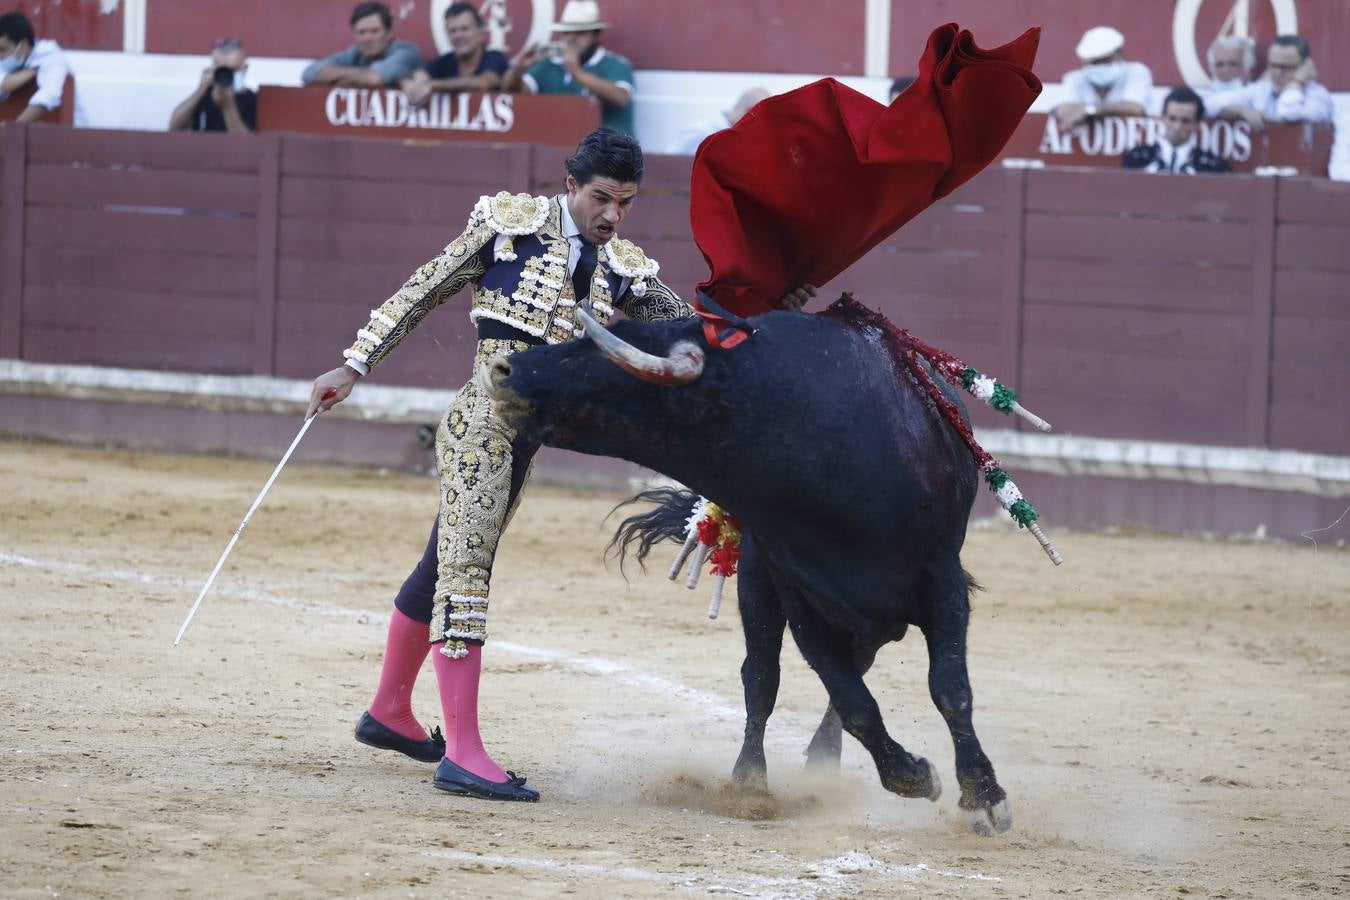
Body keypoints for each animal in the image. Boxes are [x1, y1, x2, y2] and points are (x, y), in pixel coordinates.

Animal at [488, 310, 1015, 836]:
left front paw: (984, 797)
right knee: (764, 678)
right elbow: (852, 701)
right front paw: (913, 776)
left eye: (597, 354)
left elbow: (949, 688)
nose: (503, 370)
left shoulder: (943, 580)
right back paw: (752, 783)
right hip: (760, 586)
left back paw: (820, 760)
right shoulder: (798, 596)